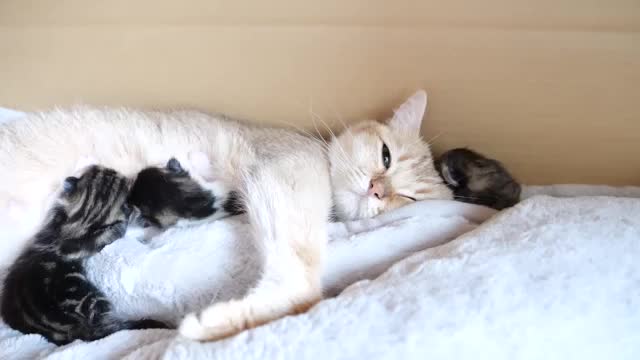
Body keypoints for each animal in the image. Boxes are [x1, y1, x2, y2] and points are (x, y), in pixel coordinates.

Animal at [0, 166, 168, 346]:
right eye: (113, 173)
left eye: (100, 170)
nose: (112, 169)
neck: (83, 221)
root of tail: (69, 329)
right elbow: (117, 231)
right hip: (91, 299)